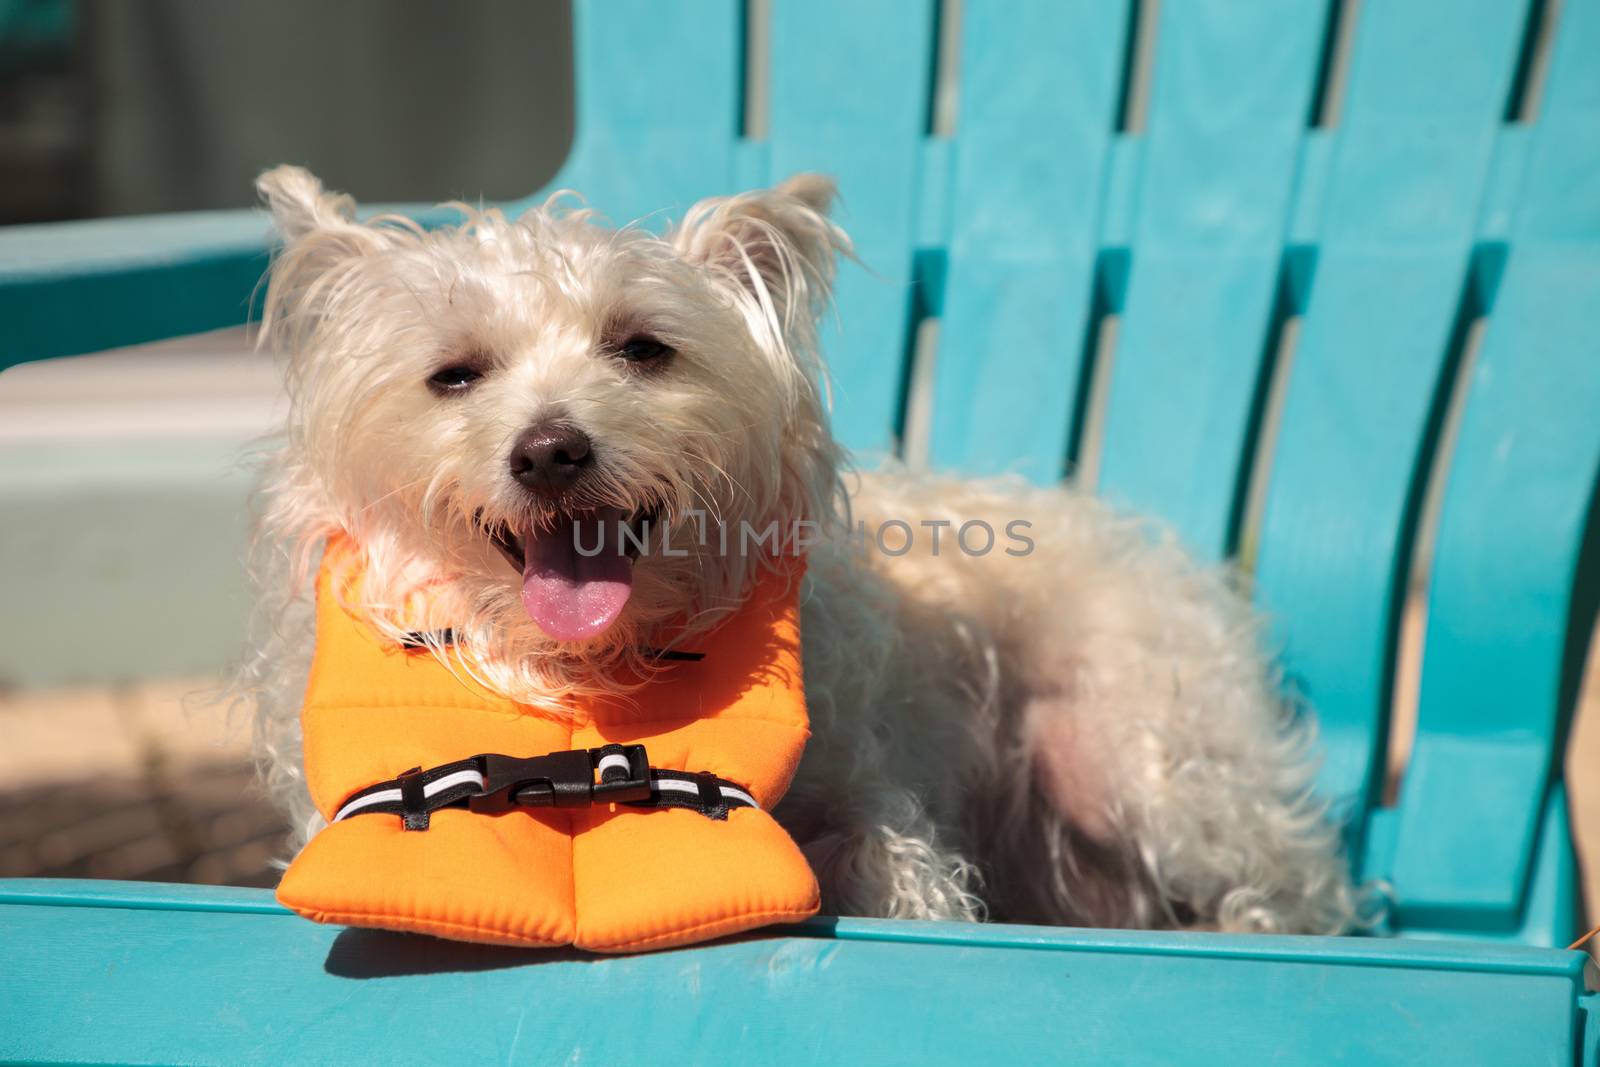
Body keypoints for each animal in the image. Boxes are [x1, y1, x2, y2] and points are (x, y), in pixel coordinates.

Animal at [240, 164, 1363, 934]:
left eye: (643, 348)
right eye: (455, 375)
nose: (552, 450)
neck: (592, 675)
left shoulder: (873, 788)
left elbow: (890, 858)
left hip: (1150, 765)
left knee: (1292, 882)